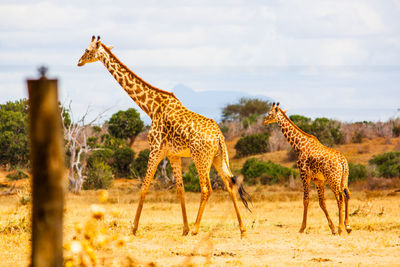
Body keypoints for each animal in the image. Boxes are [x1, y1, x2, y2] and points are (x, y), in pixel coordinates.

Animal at [77, 36, 250, 239]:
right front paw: (184, 229)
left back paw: (197, 229)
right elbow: (180, 190)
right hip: (218, 158)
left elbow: (144, 187)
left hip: (201, 158)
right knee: (230, 185)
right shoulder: (173, 155)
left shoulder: (155, 150)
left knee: (207, 188)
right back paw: (242, 230)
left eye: (88, 50)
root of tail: (219, 137)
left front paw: (134, 228)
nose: (79, 62)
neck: (151, 107)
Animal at [264, 102, 352, 234]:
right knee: (347, 195)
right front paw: (332, 228)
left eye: (269, 113)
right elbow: (322, 202)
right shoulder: (318, 179)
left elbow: (306, 200)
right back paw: (347, 226)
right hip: (343, 178)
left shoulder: (304, 175)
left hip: (333, 179)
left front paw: (302, 228)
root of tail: (342, 161)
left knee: (340, 197)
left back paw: (341, 227)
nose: (265, 121)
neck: (298, 145)